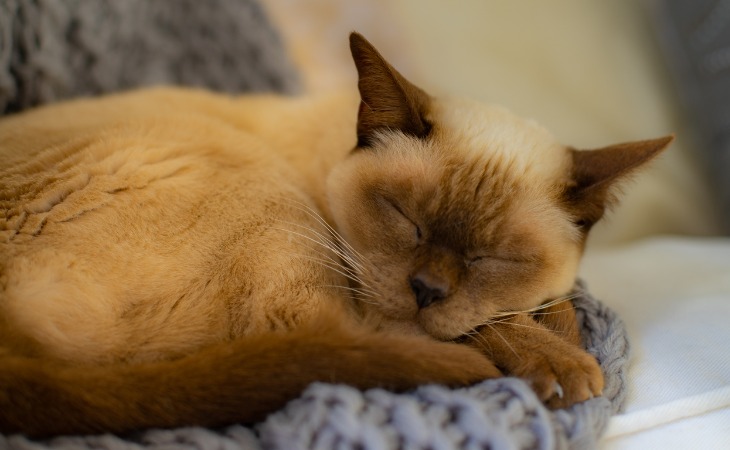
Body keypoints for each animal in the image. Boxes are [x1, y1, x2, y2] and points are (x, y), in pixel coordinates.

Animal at [1, 32, 672, 436]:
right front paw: (562, 366)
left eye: (491, 257)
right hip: (267, 197)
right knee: (338, 344)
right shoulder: (368, 289)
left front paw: (557, 334)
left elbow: (545, 302)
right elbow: (495, 324)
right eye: (405, 218)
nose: (427, 289)